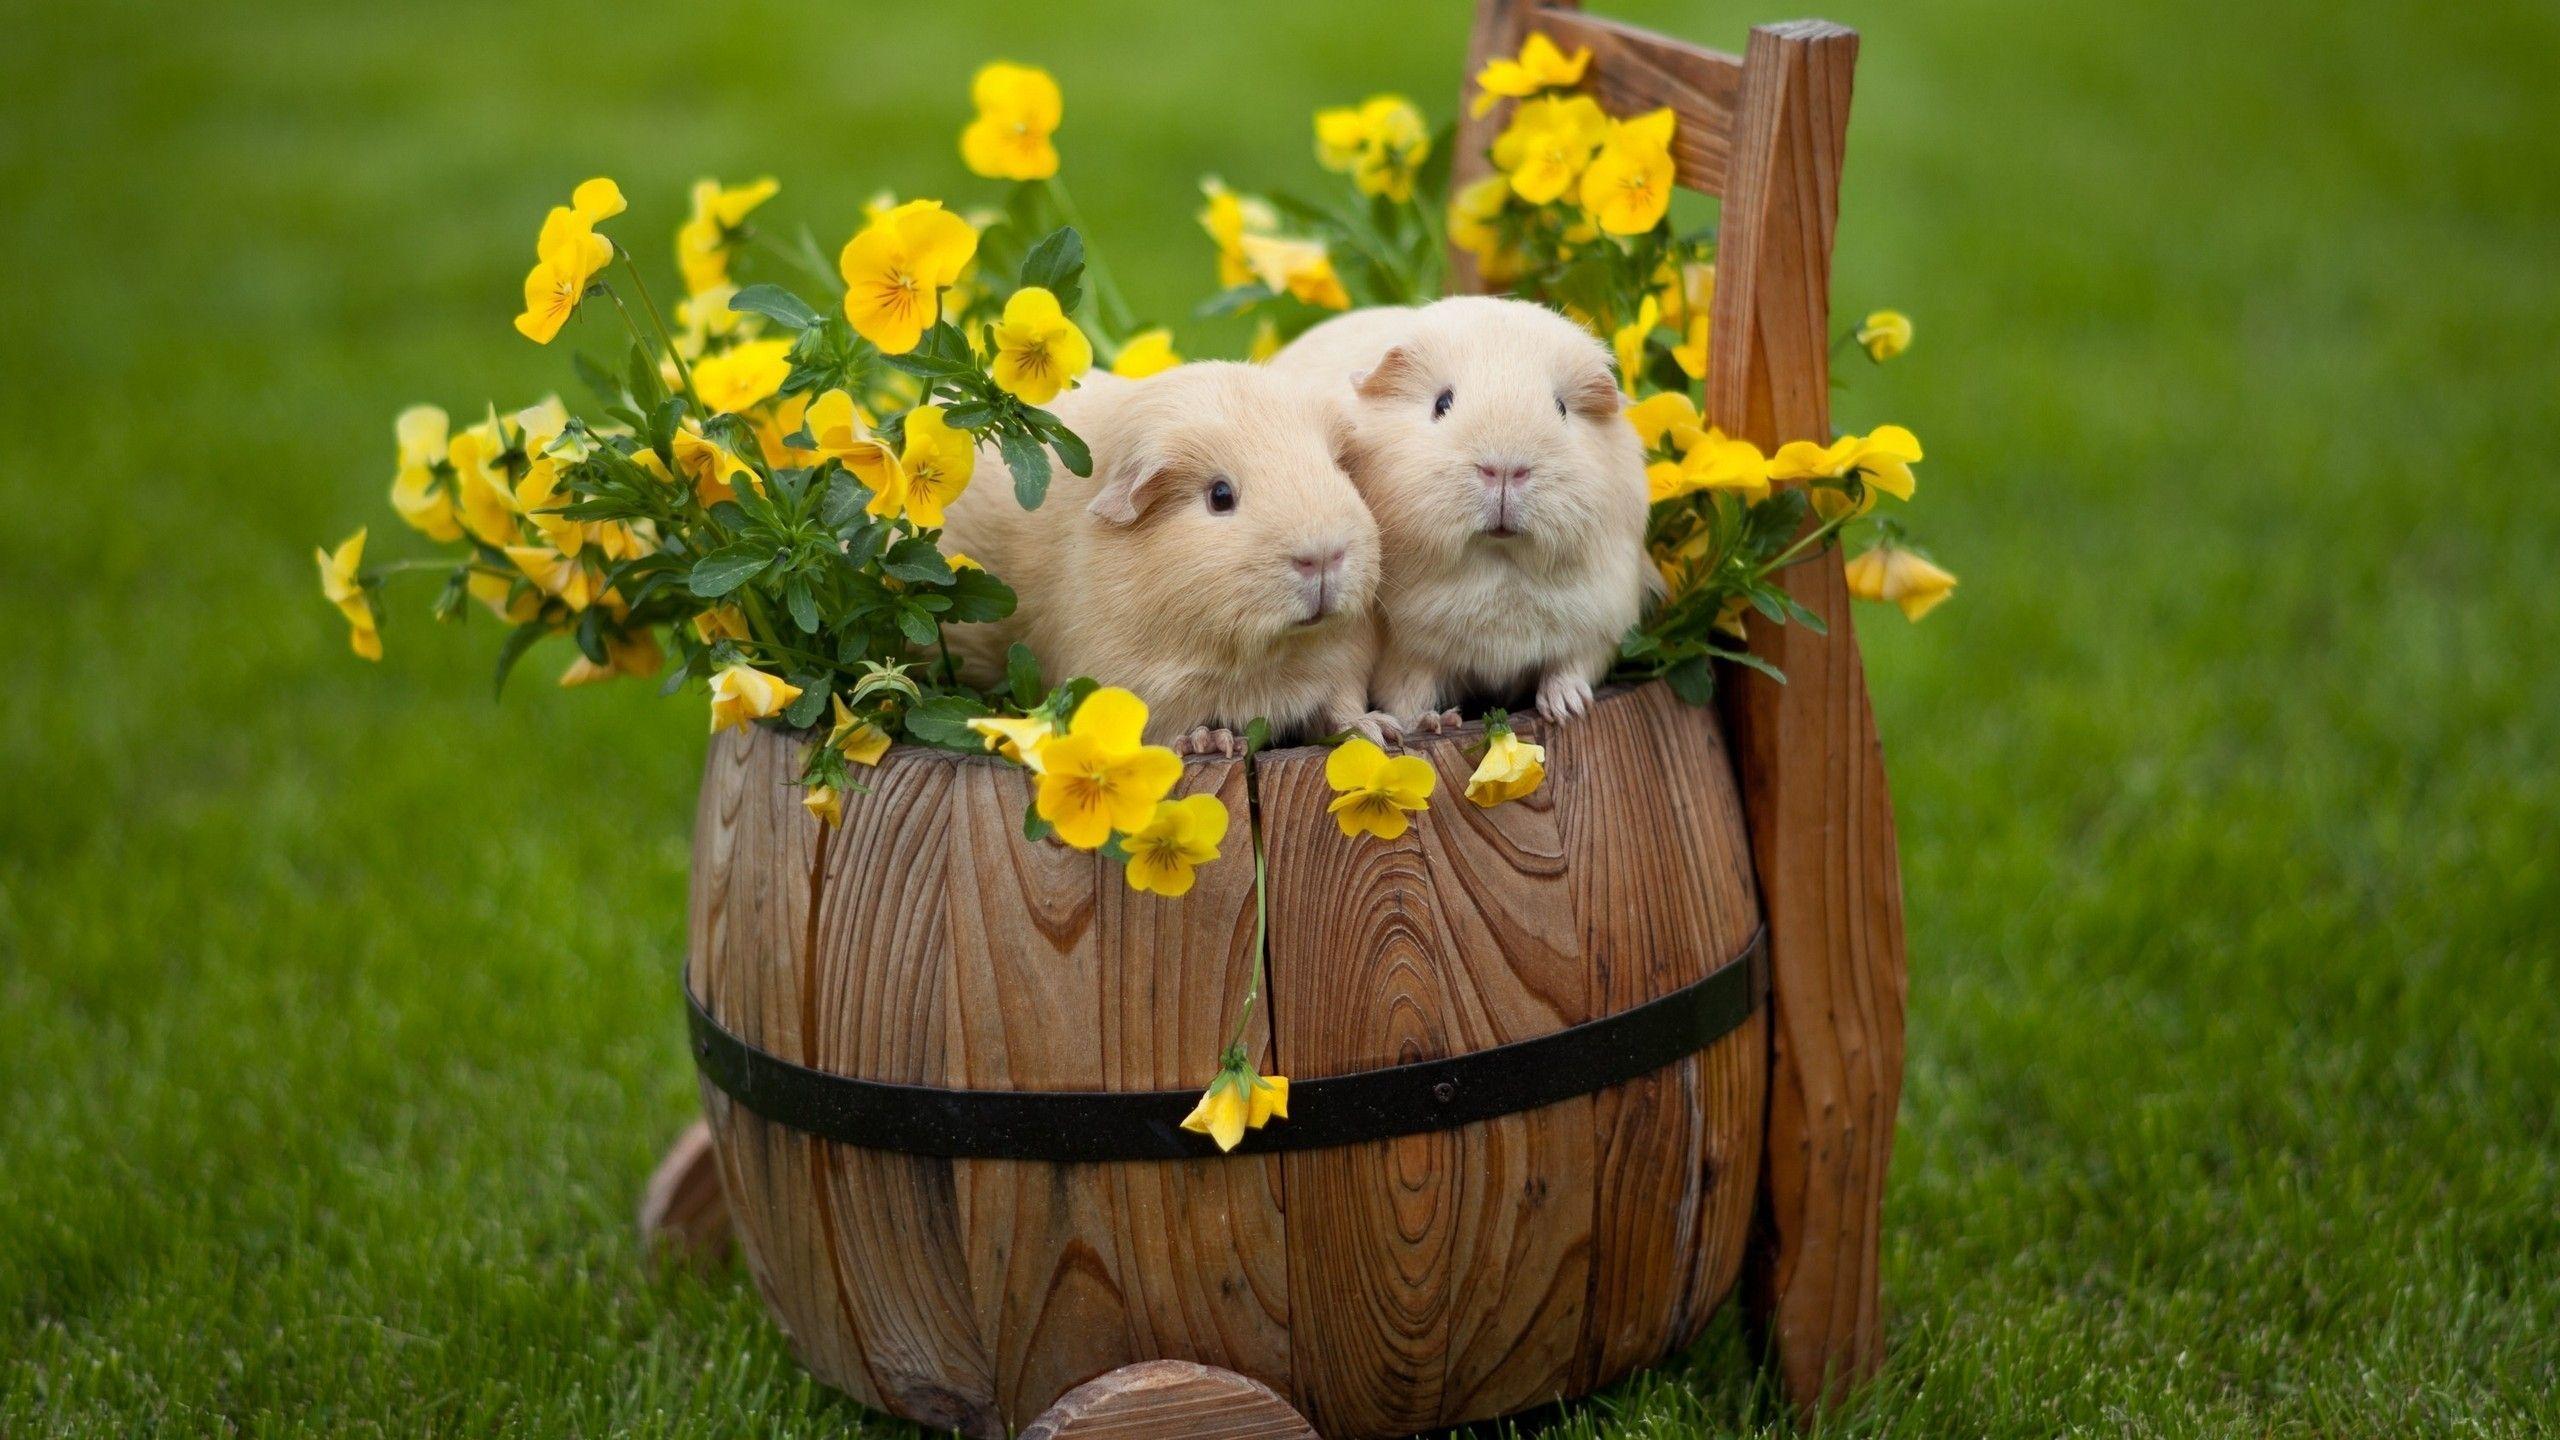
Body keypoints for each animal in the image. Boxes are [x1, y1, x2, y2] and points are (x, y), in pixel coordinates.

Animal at [935, 364, 1396, 753]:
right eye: (1220, 496)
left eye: (1336, 471)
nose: (1322, 557)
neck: (1272, 662)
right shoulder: (1141, 687)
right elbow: (1172, 727)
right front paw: (1212, 741)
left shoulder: (1344, 662)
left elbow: (1342, 708)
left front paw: (1379, 732)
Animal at [1269, 295, 1653, 727]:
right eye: (1442, 403)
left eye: (1561, 408)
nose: (1504, 470)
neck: (1499, 569)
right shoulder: (1407, 655)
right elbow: (1408, 696)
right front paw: (1431, 723)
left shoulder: (1599, 621)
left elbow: (1569, 668)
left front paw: (1567, 708)